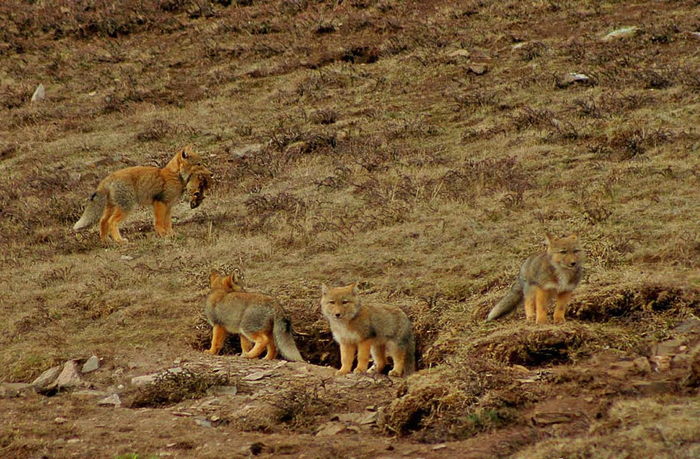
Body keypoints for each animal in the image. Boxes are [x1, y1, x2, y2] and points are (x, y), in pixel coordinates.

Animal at [73, 145, 212, 243]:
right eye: (199, 164)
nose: (211, 174)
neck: (175, 175)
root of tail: (108, 177)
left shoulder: (169, 206)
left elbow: (168, 223)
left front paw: (171, 234)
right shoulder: (160, 203)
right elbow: (159, 222)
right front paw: (163, 234)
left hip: (112, 208)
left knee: (102, 221)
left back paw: (106, 240)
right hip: (126, 208)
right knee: (112, 222)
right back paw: (120, 241)